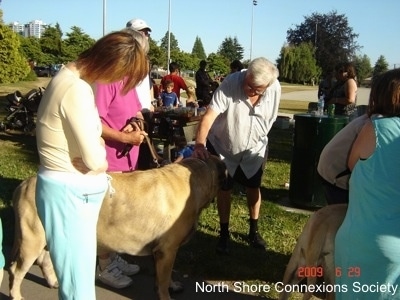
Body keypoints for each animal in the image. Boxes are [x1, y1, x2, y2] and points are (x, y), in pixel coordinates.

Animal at [8, 156, 225, 300]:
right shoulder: (168, 250)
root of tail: (24, 183)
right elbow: (163, 279)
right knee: (16, 270)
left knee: (44, 259)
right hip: (32, 240)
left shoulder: (163, 252)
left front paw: (171, 285)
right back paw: (16, 294)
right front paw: (166, 294)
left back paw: (53, 282)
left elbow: (164, 276)